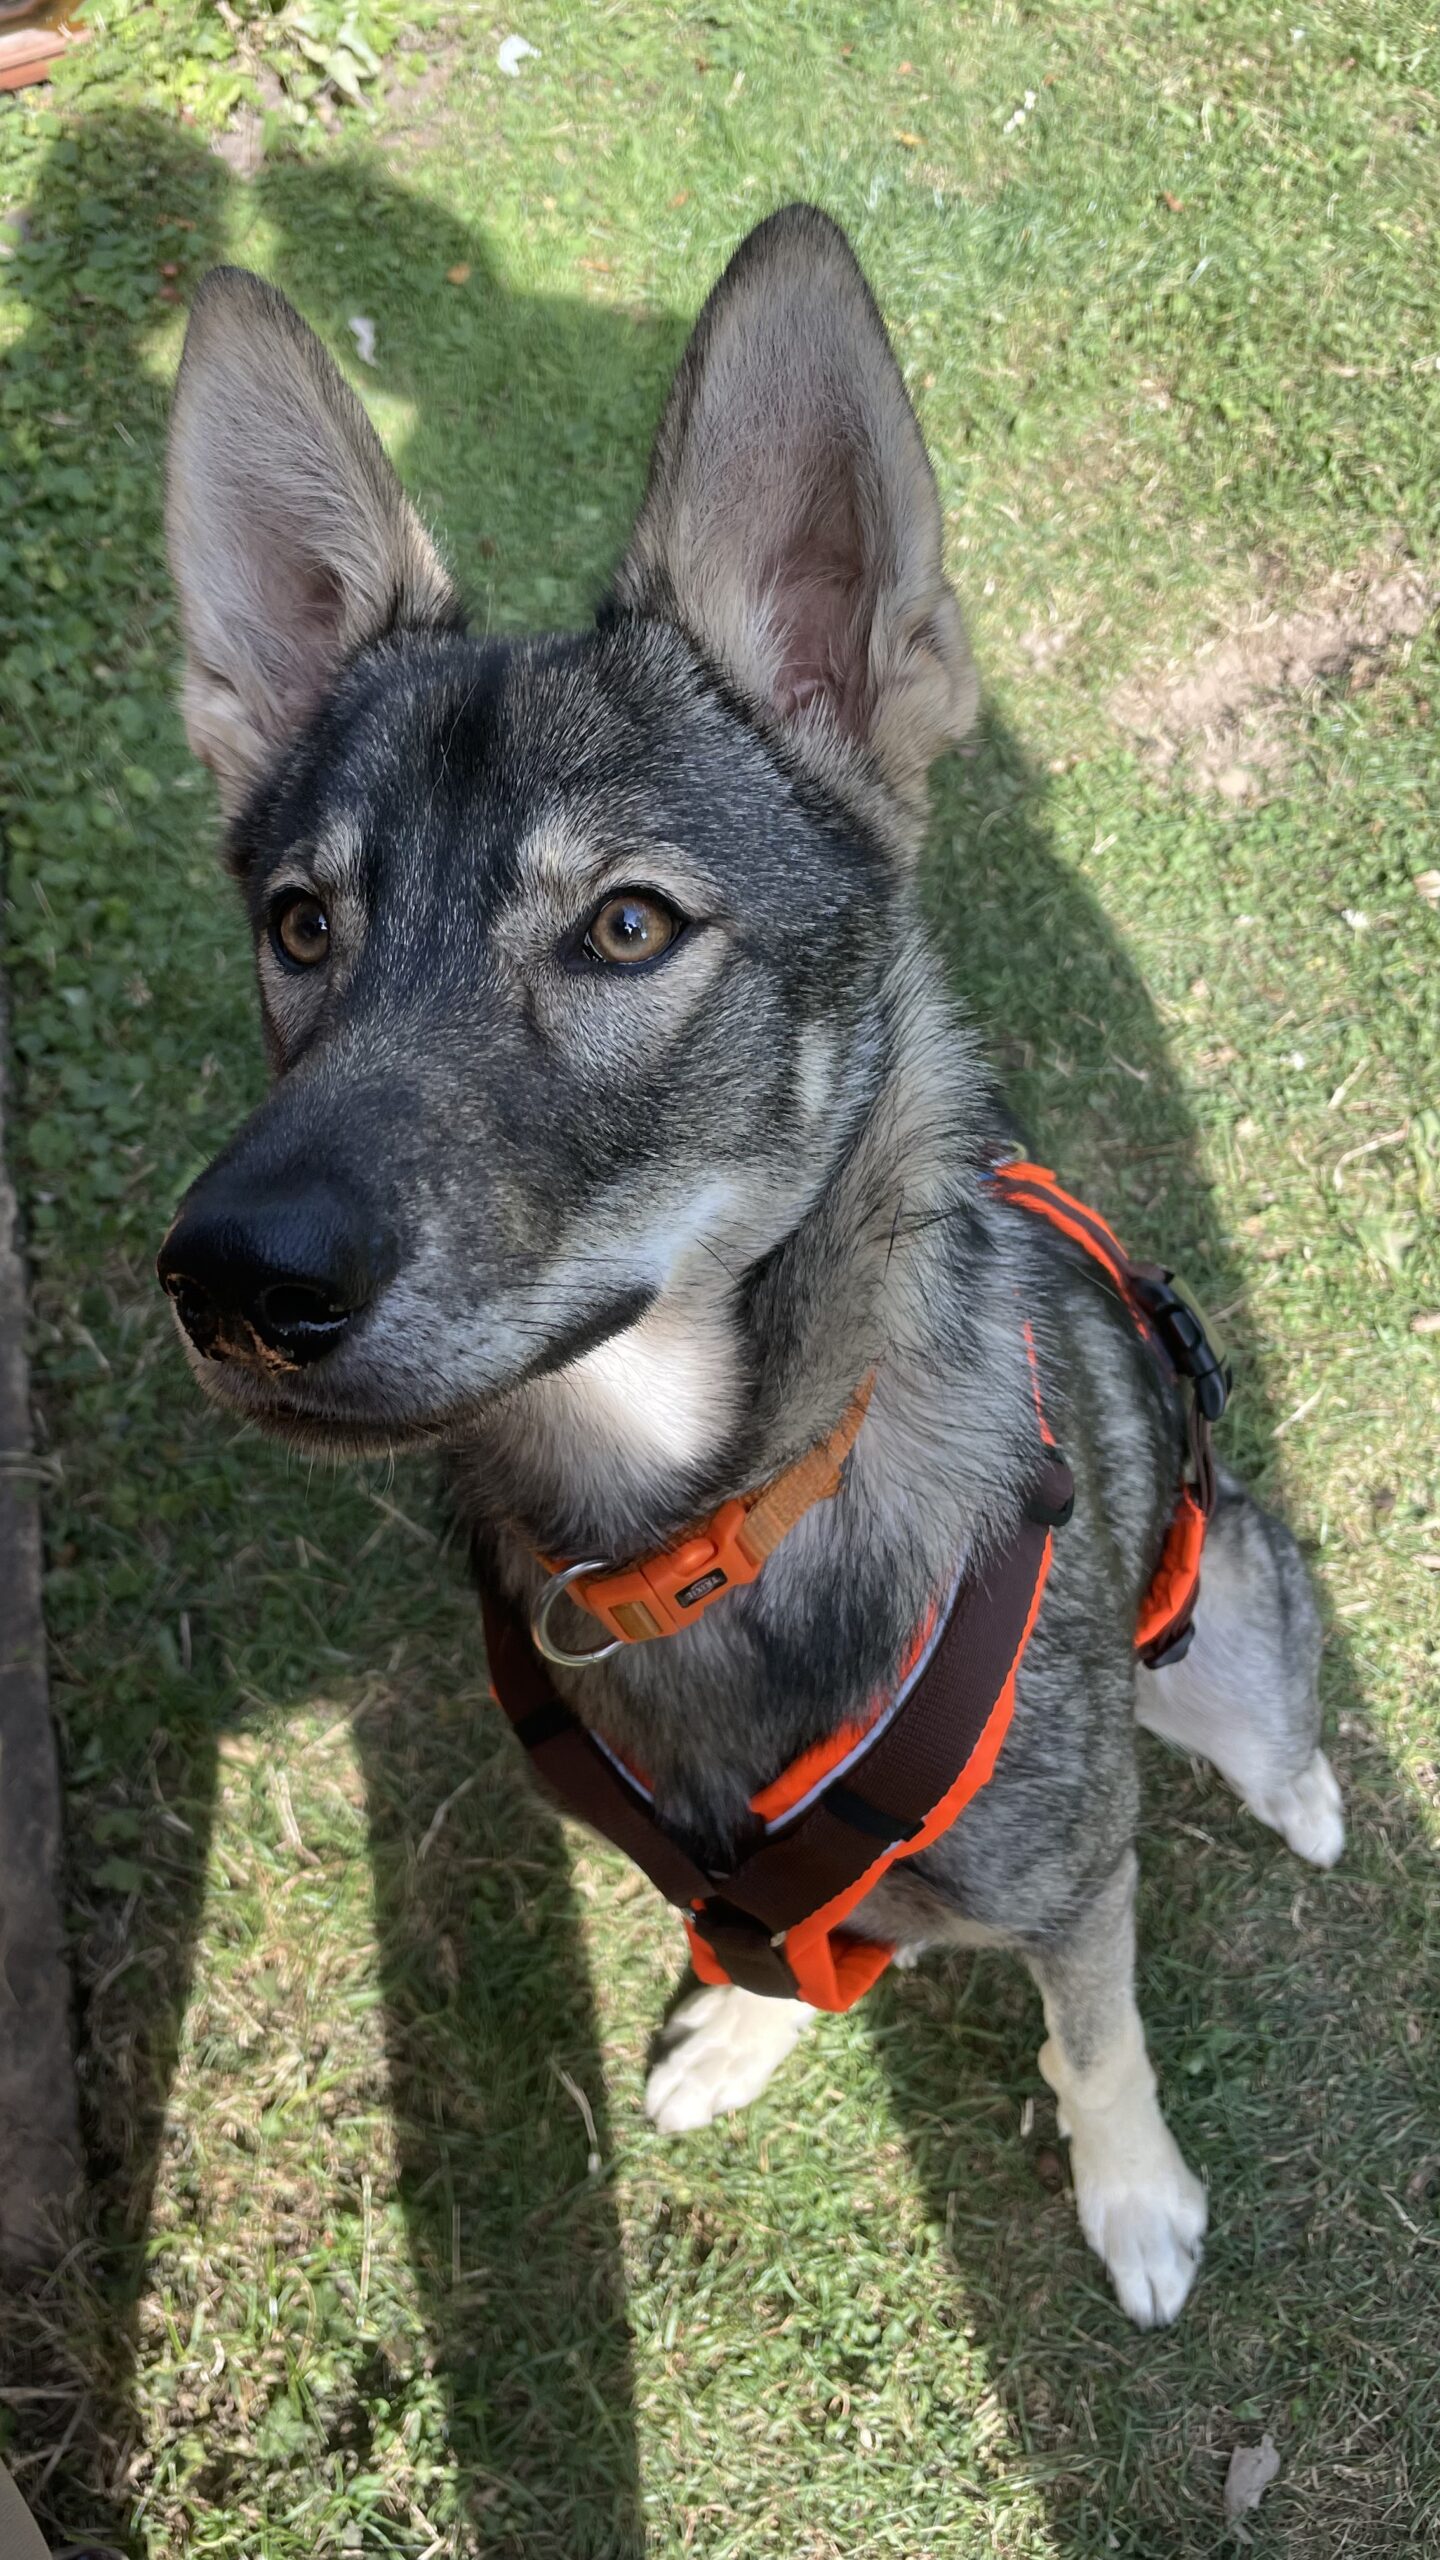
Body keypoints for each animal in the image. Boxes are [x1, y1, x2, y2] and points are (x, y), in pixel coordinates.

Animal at [158, 205, 1343, 2328]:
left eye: (629, 926)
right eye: (301, 924)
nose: (229, 1281)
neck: (710, 1521)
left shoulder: (1076, 1872)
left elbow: (1099, 2039)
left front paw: (1135, 2198)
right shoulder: (727, 1878)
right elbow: (773, 1945)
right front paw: (745, 2027)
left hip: (1218, 1622)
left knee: (1267, 1701)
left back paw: (1305, 1794)